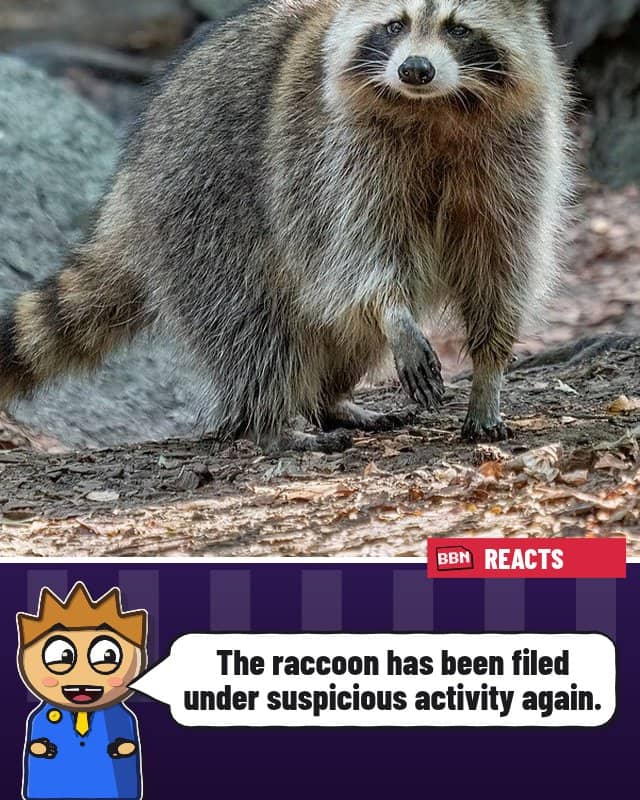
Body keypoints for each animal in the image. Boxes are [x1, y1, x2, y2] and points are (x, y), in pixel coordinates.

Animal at [0, 0, 572, 451]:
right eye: (394, 24)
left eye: (458, 29)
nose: (415, 69)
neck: (435, 108)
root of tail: (129, 180)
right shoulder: (335, 154)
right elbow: (360, 251)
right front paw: (396, 314)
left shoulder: (516, 153)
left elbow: (501, 263)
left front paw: (488, 373)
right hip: (201, 203)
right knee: (251, 319)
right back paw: (270, 420)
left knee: (339, 328)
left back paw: (331, 399)